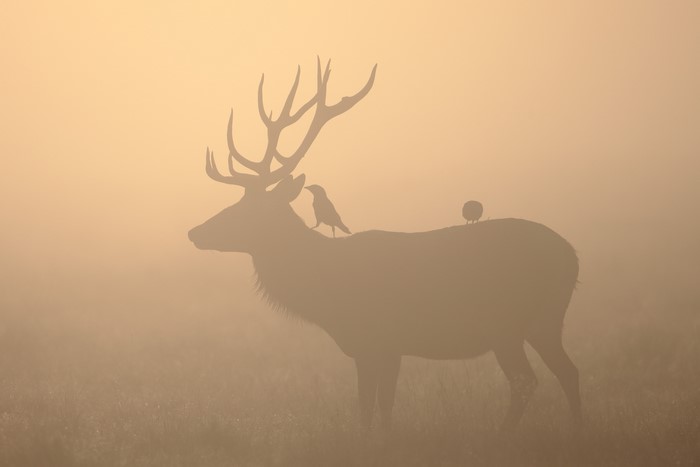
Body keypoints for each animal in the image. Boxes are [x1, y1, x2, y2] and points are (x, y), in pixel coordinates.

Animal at [188, 58, 582, 432]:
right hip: (544, 322)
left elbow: (371, 408)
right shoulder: (384, 348)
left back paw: (505, 434)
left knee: (527, 380)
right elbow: (380, 407)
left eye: (250, 209)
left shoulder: (377, 338)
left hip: (510, 322)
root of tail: (573, 256)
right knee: (568, 371)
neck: (326, 297)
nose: (195, 232)